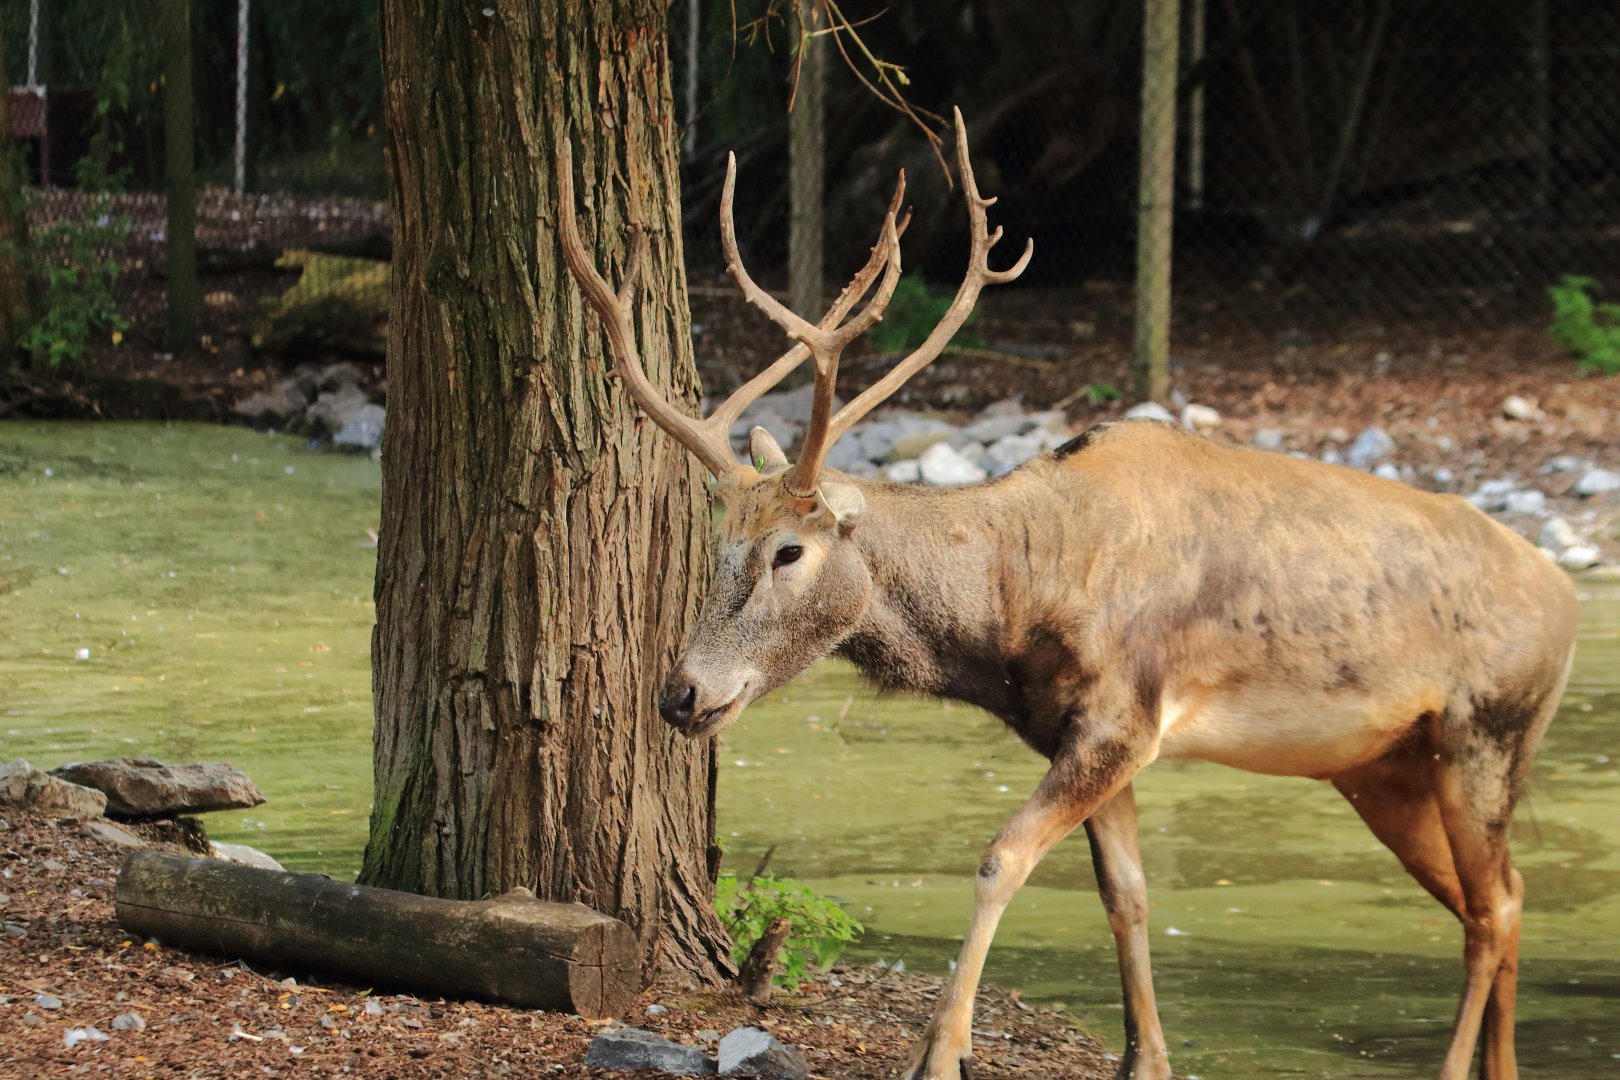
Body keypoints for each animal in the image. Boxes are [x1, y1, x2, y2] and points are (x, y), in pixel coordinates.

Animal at [556, 109, 1579, 1080]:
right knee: (1504, 897)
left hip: (1488, 730)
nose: (682, 693)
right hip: (1382, 766)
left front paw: (939, 1052)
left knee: (1493, 905)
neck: (1013, 618)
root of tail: (1566, 598)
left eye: (788, 552)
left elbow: (999, 858)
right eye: (717, 548)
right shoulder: (1082, 733)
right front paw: (1144, 1057)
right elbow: (1125, 897)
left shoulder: (1124, 717)